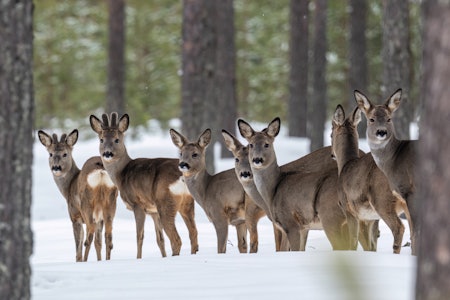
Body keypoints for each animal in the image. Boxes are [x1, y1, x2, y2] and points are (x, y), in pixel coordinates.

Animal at [37, 130, 118, 262]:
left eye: (65, 154)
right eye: (50, 154)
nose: (56, 167)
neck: (68, 187)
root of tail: (100, 171)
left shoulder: (75, 216)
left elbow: (78, 246)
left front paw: (79, 260)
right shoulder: (99, 218)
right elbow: (98, 243)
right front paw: (99, 261)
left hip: (86, 203)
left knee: (88, 237)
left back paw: (85, 261)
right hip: (111, 202)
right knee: (108, 236)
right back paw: (107, 260)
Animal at [89, 112, 199, 258]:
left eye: (117, 140)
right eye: (101, 140)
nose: (107, 153)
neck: (121, 174)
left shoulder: (138, 204)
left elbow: (139, 236)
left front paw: (138, 258)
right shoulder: (153, 211)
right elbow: (160, 239)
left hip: (165, 202)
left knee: (176, 240)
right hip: (187, 203)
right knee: (193, 234)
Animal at [237, 117, 360, 251]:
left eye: (266, 144)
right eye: (251, 145)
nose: (257, 159)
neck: (273, 190)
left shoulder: (291, 224)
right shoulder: (302, 227)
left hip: (330, 216)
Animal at [330, 105, 412, 253]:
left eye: (330, 134)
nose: (332, 154)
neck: (345, 165)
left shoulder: (349, 210)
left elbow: (353, 243)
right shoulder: (370, 218)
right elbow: (371, 246)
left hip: (381, 200)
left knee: (399, 228)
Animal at [356, 88, 418, 254]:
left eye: (389, 119)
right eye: (371, 119)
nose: (381, 132)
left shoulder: (410, 190)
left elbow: (416, 231)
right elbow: (413, 233)